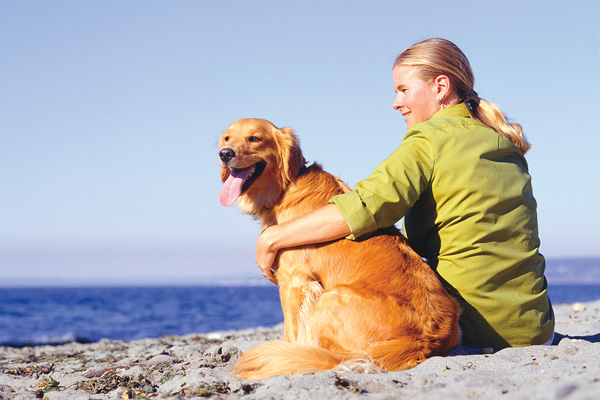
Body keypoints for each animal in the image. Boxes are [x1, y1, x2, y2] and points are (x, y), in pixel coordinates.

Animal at [219, 117, 460, 380]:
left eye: (255, 138)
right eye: (227, 138)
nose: (225, 154)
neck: (286, 187)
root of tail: (423, 340)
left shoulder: (294, 281)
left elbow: (292, 331)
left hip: (332, 297)